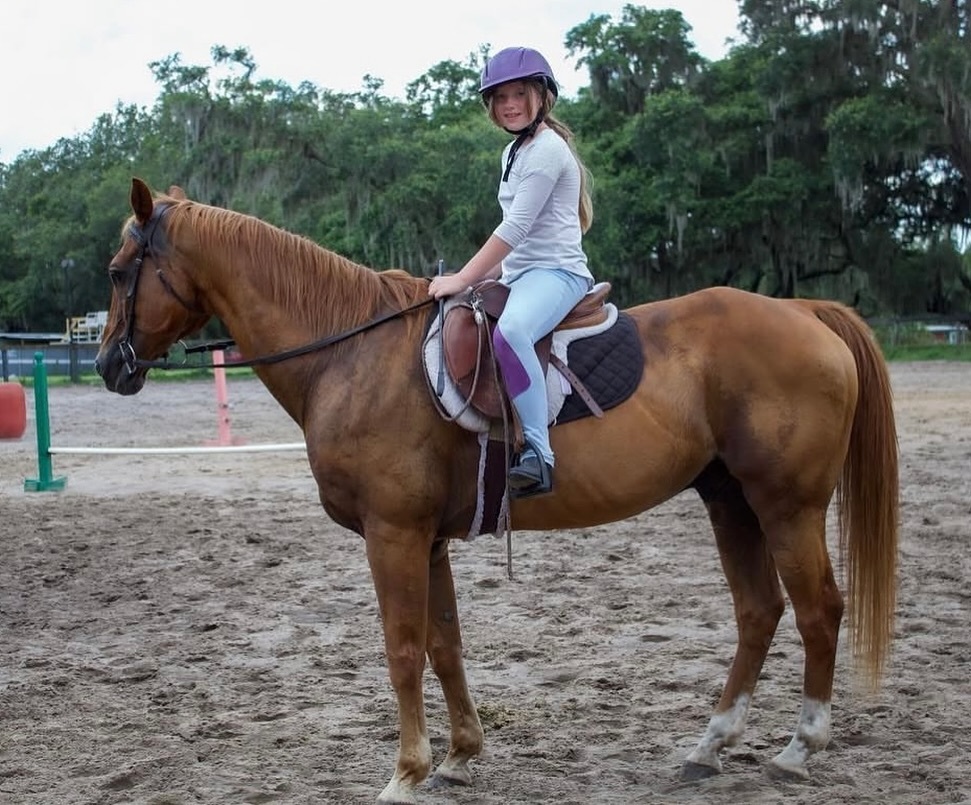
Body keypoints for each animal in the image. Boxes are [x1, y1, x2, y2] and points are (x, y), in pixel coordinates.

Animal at [95, 177, 898, 804]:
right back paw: (710, 744)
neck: (351, 355)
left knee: (818, 610)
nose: (108, 365)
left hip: (786, 506)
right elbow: (445, 643)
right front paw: (458, 756)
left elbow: (402, 648)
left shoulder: (393, 535)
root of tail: (801, 310)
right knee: (758, 611)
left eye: (118, 269)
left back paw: (800, 747)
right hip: (729, 501)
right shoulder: (428, 541)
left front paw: (406, 772)